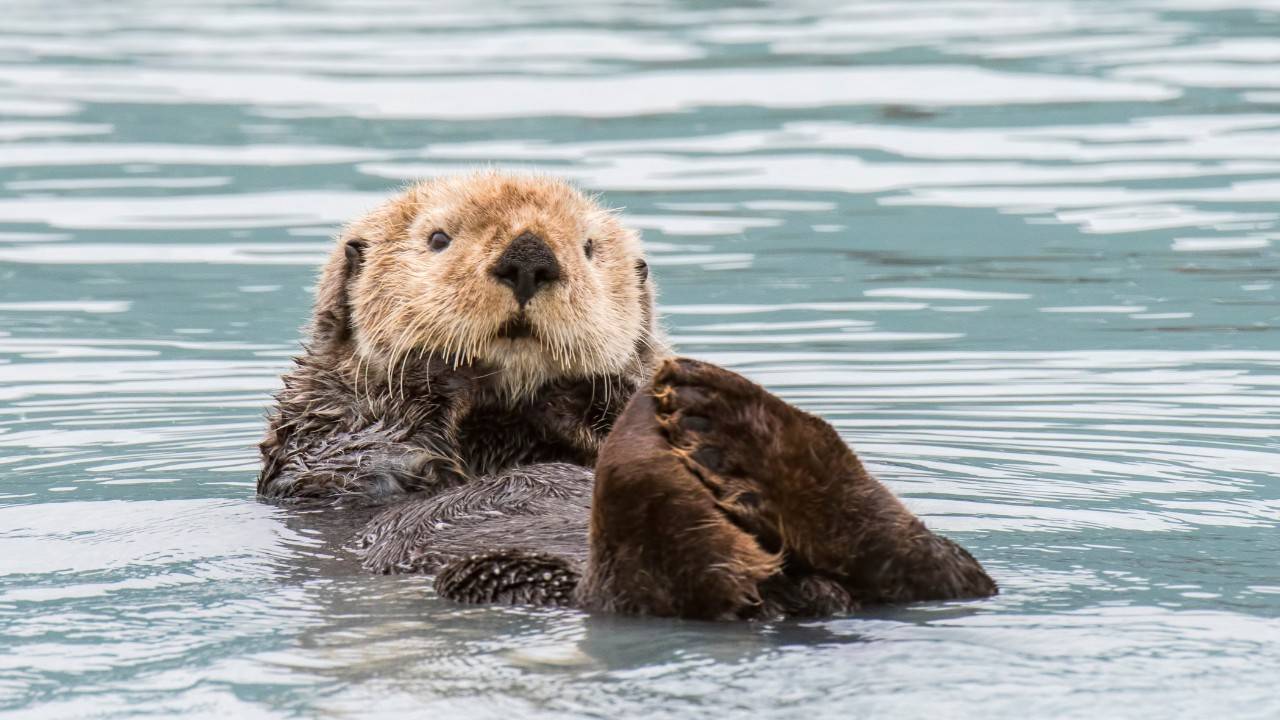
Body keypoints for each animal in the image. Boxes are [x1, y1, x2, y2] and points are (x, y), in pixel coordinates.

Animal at [259, 169, 998, 617]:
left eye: (587, 248)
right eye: (437, 238)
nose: (529, 256)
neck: (508, 422)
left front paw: (600, 396)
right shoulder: (319, 435)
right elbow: (371, 456)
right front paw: (442, 371)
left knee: (944, 572)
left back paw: (734, 425)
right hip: (510, 576)